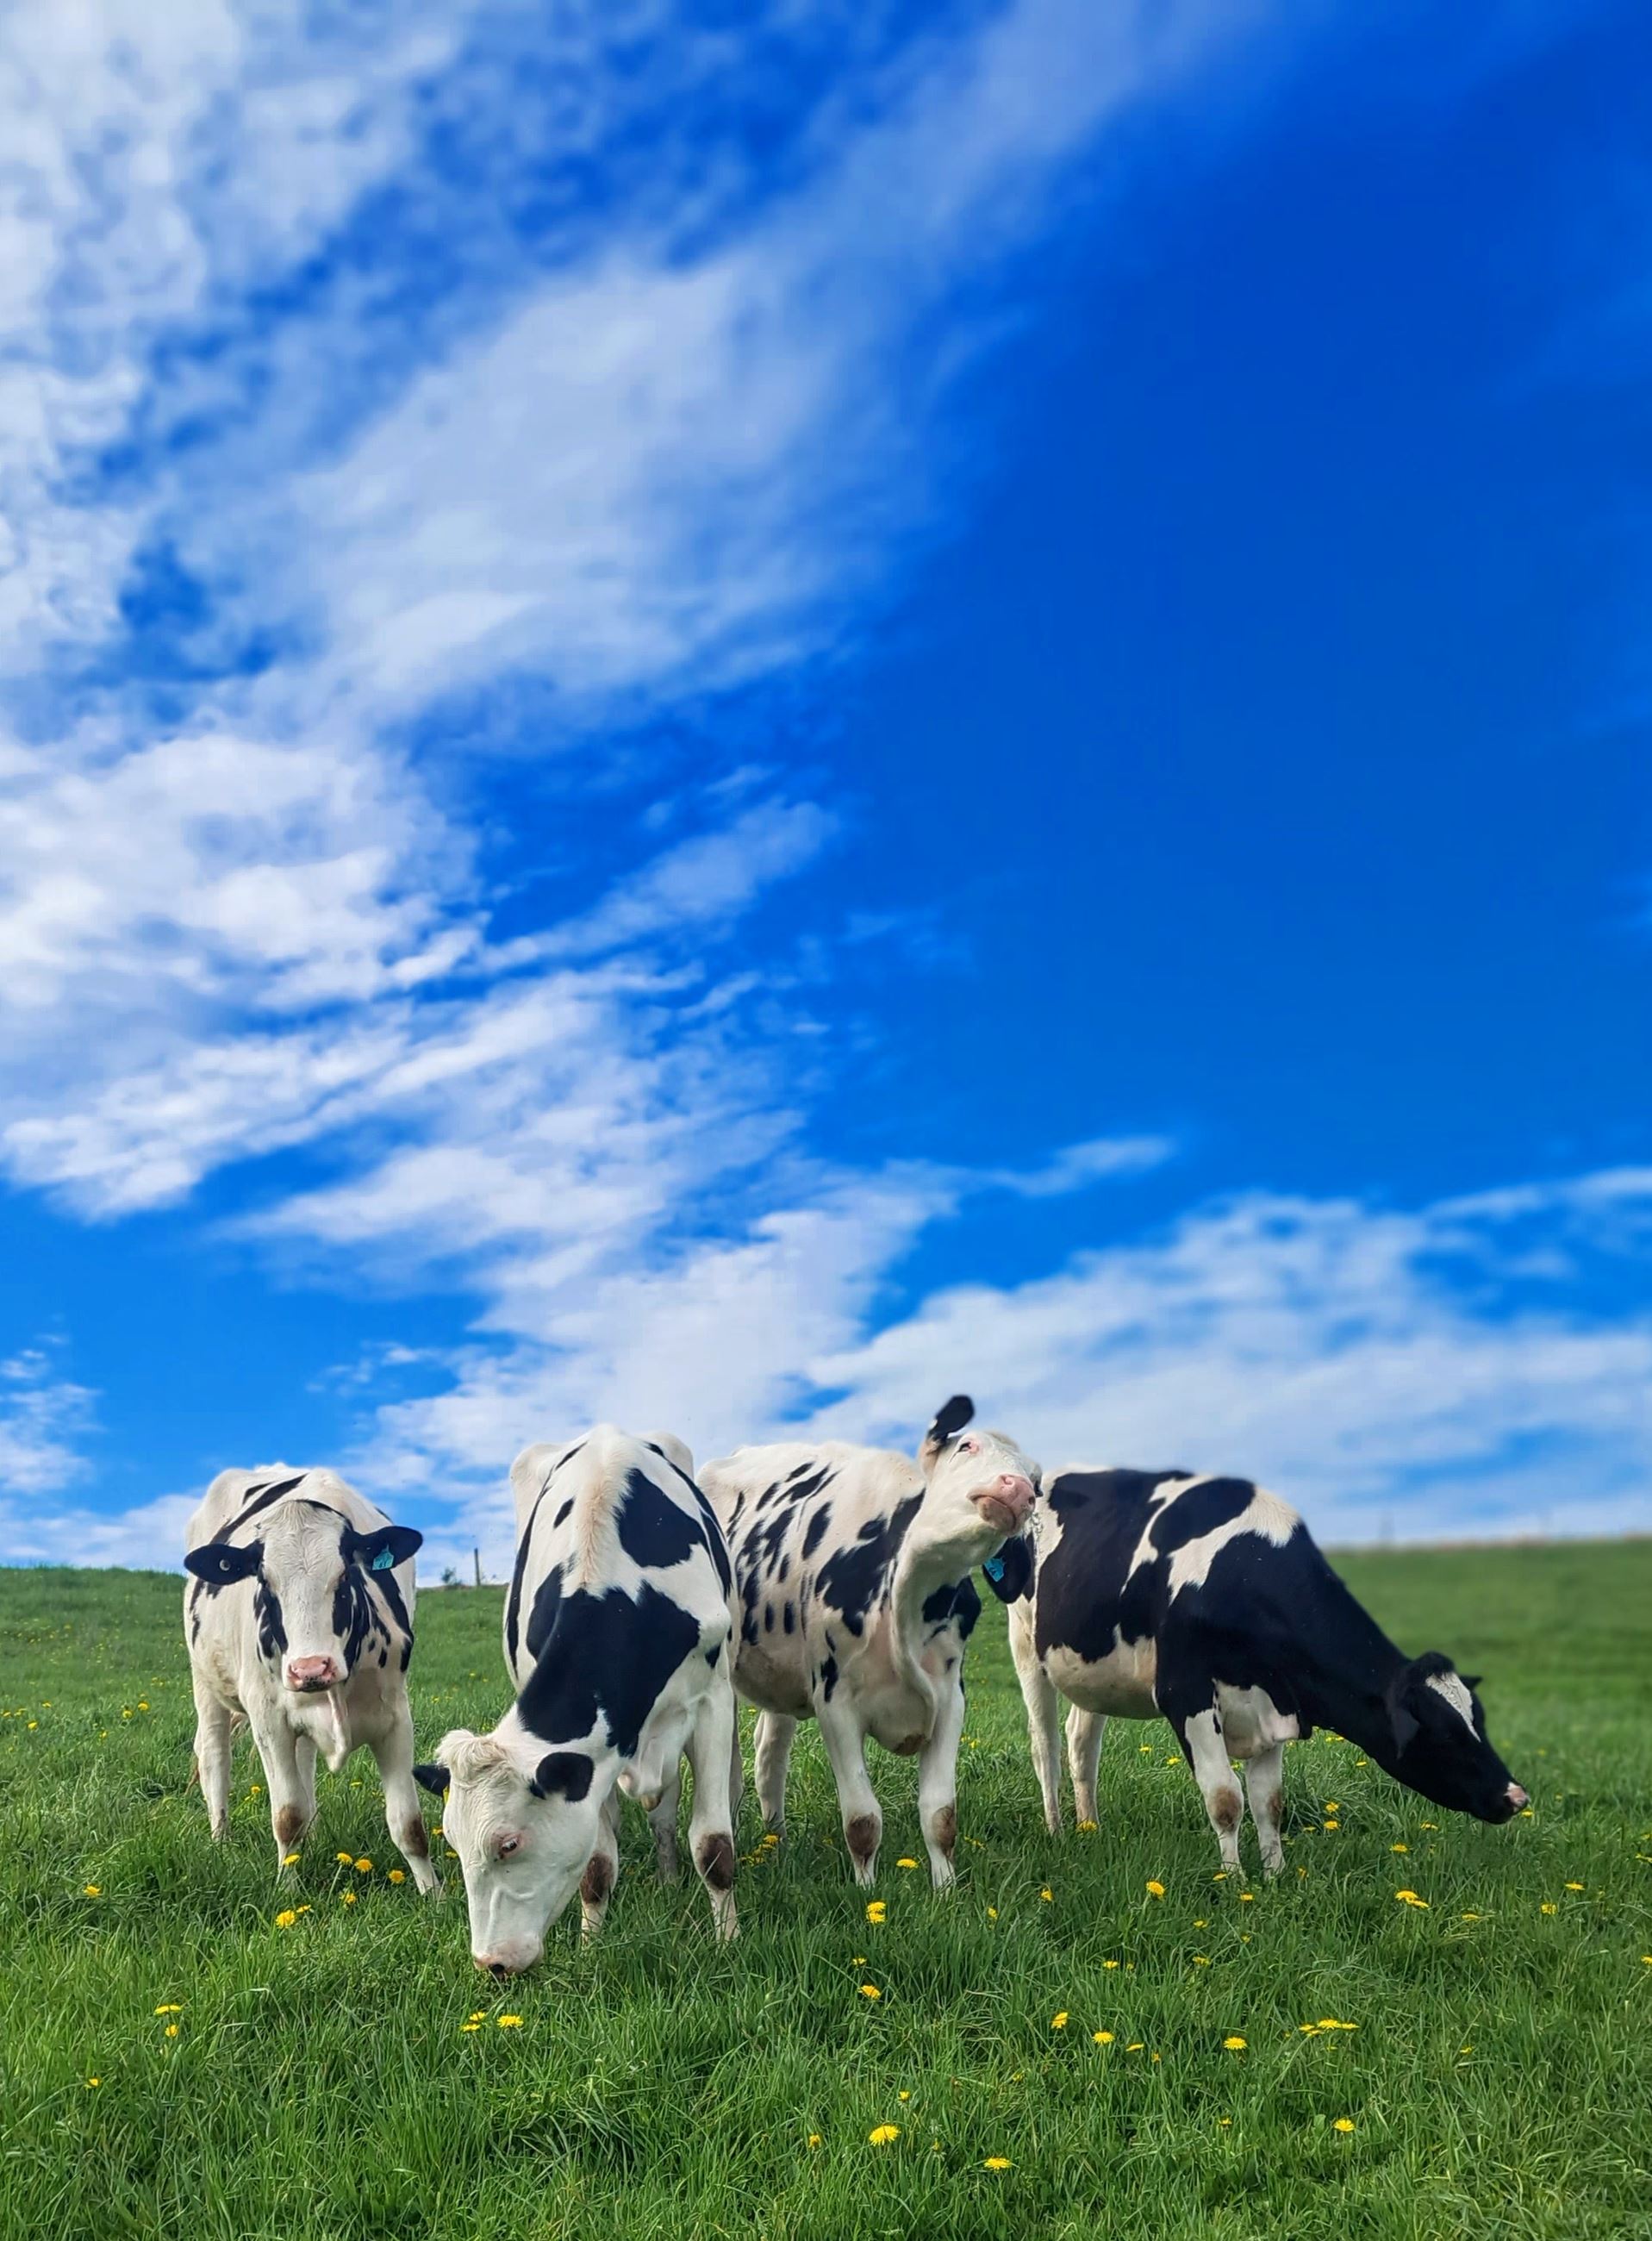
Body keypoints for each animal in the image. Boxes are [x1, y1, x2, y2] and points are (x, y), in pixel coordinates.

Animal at [183, 1467, 435, 1891]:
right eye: (264, 1581)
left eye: (346, 1574)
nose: (311, 1668)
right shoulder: (269, 1721)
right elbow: (287, 1816)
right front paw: (287, 1889)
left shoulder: (396, 1718)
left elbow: (409, 1825)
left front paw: (434, 1895)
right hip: (205, 1683)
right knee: (214, 1755)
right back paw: (221, 1839)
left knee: (304, 1764)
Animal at [412, 1427, 738, 1974]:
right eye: (452, 1842)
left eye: (508, 1843)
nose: (491, 1963)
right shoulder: (595, 1760)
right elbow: (598, 1864)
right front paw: (591, 1945)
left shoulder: (712, 1699)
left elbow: (713, 1845)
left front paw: (728, 1940)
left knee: (666, 1809)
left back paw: (670, 1877)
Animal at [699, 1396, 1038, 1890]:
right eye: (967, 1446)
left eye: (1038, 1479)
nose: (1018, 1490)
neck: (908, 1595)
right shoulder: (835, 1703)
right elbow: (862, 1820)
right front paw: (867, 1891)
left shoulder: (950, 1699)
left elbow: (941, 1815)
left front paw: (946, 1890)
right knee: (734, 1769)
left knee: (770, 1754)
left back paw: (777, 1843)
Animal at [985, 1465, 1529, 1877]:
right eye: (1441, 1732)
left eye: (1478, 1720)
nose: (1517, 1797)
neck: (1243, 1575)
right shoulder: (1187, 1695)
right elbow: (1226, 1798)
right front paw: (1234, 1882)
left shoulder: (1273, 1702)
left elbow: (1271, 1802)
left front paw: (1274, 1876)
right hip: (1026, 1647)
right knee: (1045, 1746)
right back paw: (1058, 1831)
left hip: (1093, 1670)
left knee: (1082, 1743)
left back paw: (1090, 1827)